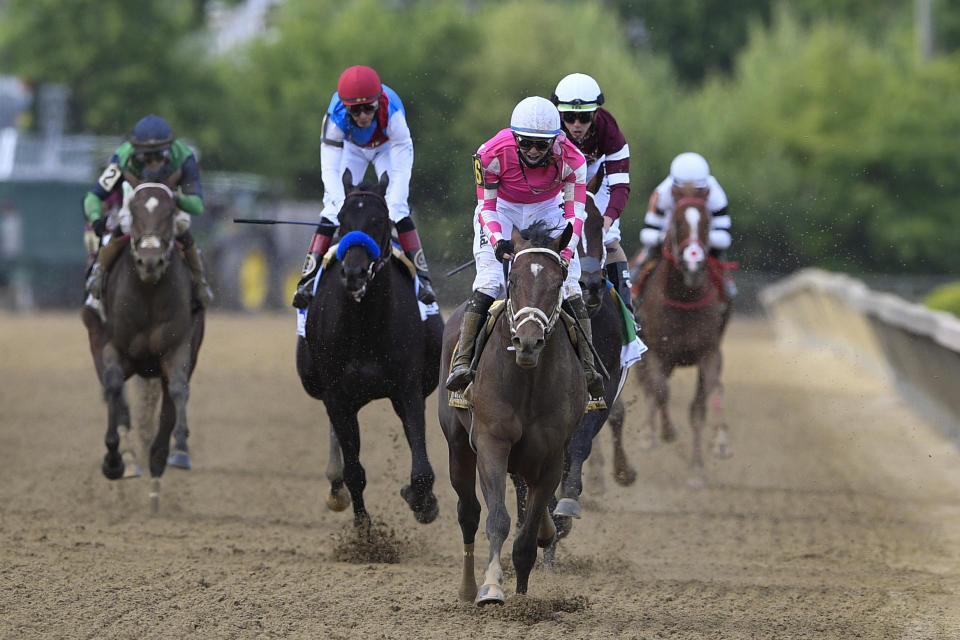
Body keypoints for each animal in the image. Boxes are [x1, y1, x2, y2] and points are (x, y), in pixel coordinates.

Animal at [80, 181, 204, 510]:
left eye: (170, 212)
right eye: (133, 211)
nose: (150, 261)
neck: (148, 291)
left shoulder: (178, 348)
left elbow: (178, 392)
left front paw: (174, 451)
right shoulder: (112, 347)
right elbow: (113, 388)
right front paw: (114, 461)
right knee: (115, 395)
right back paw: (127, 459)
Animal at [440, 220, 588, 604]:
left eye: (556, 283)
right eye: (515, 281)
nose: (528, 342)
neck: (528, 379)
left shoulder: (552, 453)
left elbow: (528, 532)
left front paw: (521, 593)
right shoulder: (491, 442)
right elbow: (498, 519)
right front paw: (492, 586)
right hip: (458, 445)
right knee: (469, 513)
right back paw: (467, 587)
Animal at [632, 188, 732, 488]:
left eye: (708, 224)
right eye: (676, 224)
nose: (694, 263)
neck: (684, 298)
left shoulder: (709, 353)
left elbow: (699, 407)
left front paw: (697, 469)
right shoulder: (656, 351)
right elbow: (660, 391)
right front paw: (664, 432)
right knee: (652, 388)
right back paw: (649, 433)